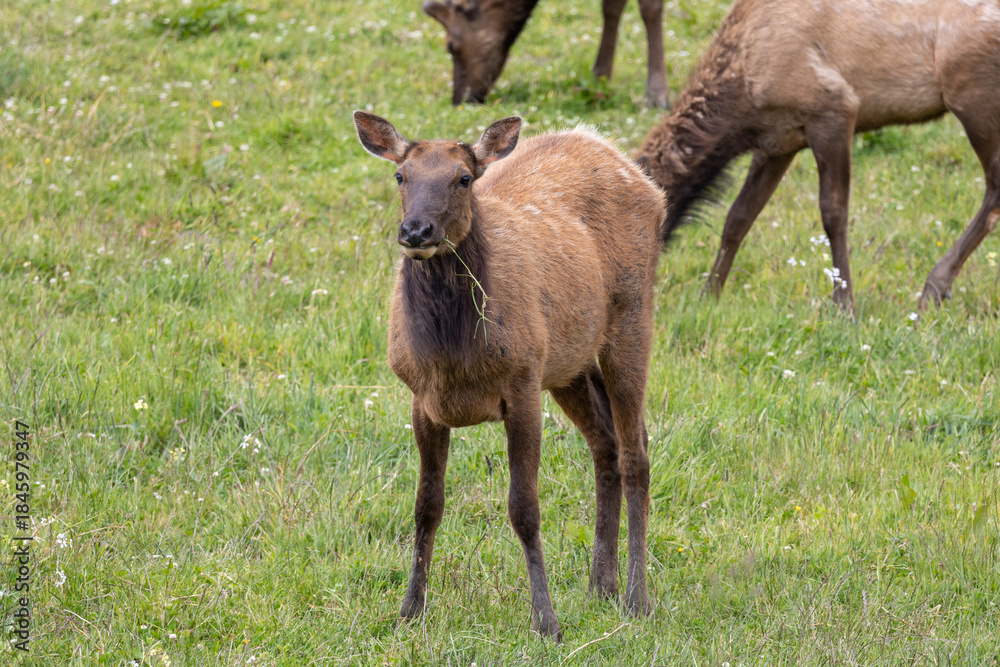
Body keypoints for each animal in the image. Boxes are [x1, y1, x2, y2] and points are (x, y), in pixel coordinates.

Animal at [353, 110, 667, 640]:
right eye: (401, 175)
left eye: (463, 178)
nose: (416, 232)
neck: (453, 356)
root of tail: (625, 162)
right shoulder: (421, 399)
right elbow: (426, 506)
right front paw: (409, 611)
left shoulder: (521, 384)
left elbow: (524, 509)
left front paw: (547, 622)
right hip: (567, 362)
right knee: (605, 444)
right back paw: (598, 585)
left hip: (631, 316)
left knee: (636, 453)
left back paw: (636, 598)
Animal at [422, 0, 670, 108]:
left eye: (451, 46)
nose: (459, 98)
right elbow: (611, 7)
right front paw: (599, 77)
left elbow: (650, 8)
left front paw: (657, 94)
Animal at [636, 0, 1000, 314]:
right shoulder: (778, 141)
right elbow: (738, 216)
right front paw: (709, 294)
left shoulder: (834, 110)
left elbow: (833, 213)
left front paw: (844, 305)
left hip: (973, 96)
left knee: (993, 188)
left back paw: (933, 289)